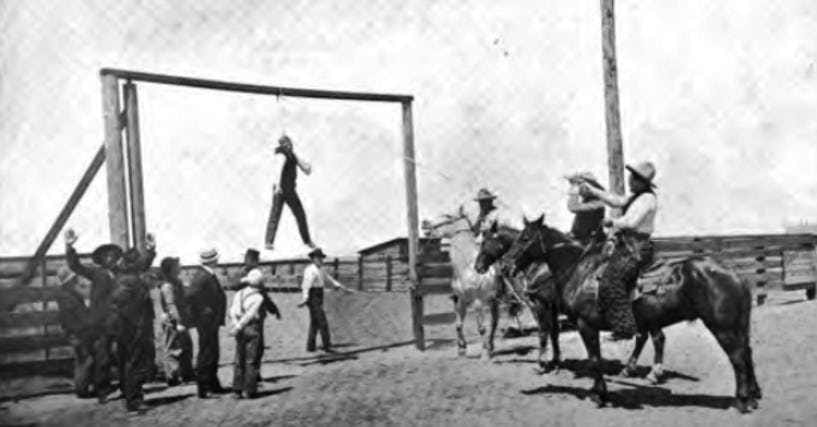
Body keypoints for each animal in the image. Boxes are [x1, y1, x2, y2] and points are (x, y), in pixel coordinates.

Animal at [478, 217, 760, 414]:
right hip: (734, 325)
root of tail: (734, 273)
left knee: (736, 357)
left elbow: (591, 358)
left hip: (722, 327)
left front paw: (598, 395)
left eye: (525, 239)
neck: (579, 270)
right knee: (745, 353)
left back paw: (741, 401)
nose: (503, 266)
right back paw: (754, 396)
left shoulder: (578, 321)